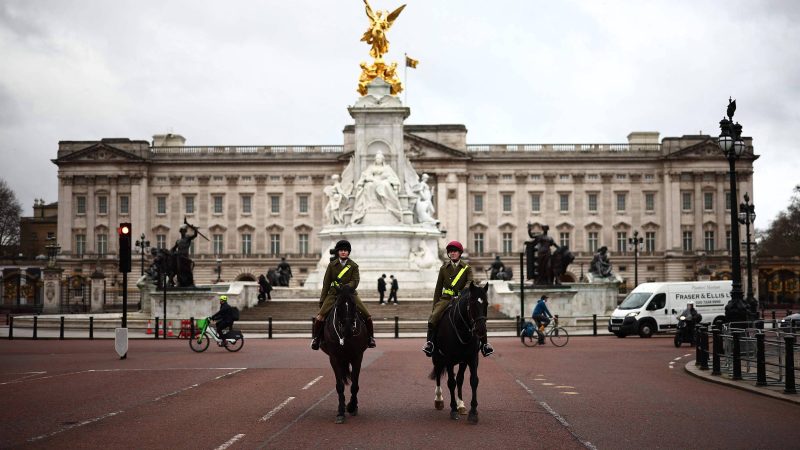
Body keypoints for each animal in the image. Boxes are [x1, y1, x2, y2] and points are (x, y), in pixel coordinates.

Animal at [318, 286, 368, 424]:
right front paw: (340, 412)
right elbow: (339, 386)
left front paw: (352, 406)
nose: (347, 329)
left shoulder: (357, 357)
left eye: (354, 304)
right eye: (338, 304)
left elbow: (355, 384)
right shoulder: (334, 358)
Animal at [428, 284, 490, 424]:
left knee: (460, 379)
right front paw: (453, 409)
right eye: (472, 303)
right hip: (437, 358)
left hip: (462, 361)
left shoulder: (472, 358)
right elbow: (451, 382)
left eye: (486, 303)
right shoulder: (449, 359)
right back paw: (439, 399)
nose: (481, 330)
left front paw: (472, 412)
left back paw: (461, 405)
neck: (462, 329)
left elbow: (473, 381)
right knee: (438, 375)